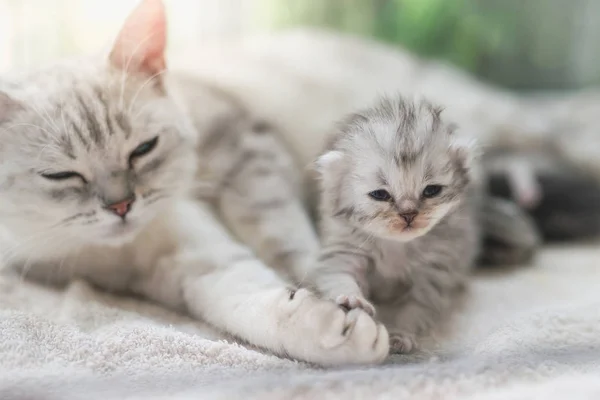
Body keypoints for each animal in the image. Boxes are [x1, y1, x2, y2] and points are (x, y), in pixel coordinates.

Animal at [0, 0, 390, 368]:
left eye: (143, 149)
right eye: (61, 175)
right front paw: (335, 329)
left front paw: (338, 291)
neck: (122, 252)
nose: (121, 206)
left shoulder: (249, 152)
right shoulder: (190, 268)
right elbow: (248, 300)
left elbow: (288, 240)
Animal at [312, 97, 480, 354]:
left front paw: (400, 335)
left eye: (431, 190)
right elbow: (338, 274)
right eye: (380, 194)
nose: (408, 214)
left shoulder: (435, 271)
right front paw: (351, 299)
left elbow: (415, 309)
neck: (396, 246)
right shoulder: (344, 249)